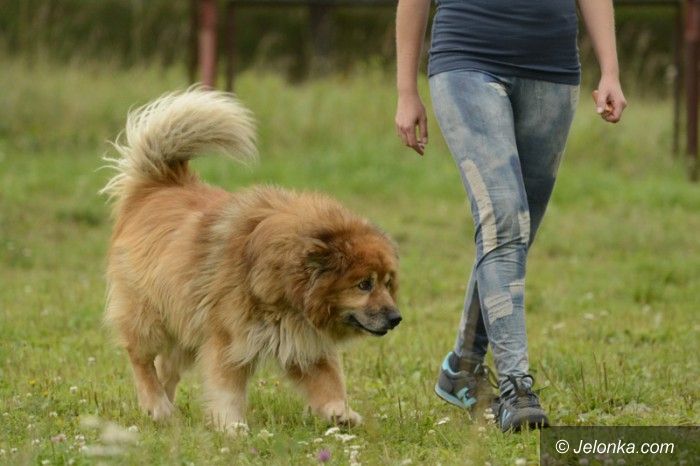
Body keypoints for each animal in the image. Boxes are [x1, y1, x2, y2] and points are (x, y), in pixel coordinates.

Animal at [101, 89, 400, 433]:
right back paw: (156, 404)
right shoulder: (229, 342)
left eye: (387, 283)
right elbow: (226, 390)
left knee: (166, 368)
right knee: (141, 359)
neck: (283, 283)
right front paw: (232, 427)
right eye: (364, 284)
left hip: (184, 325)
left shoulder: (304, 343)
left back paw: (163, 410)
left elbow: (329, 382)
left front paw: (340, 413)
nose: (396, 318)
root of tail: (157, 185)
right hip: (151, 317)